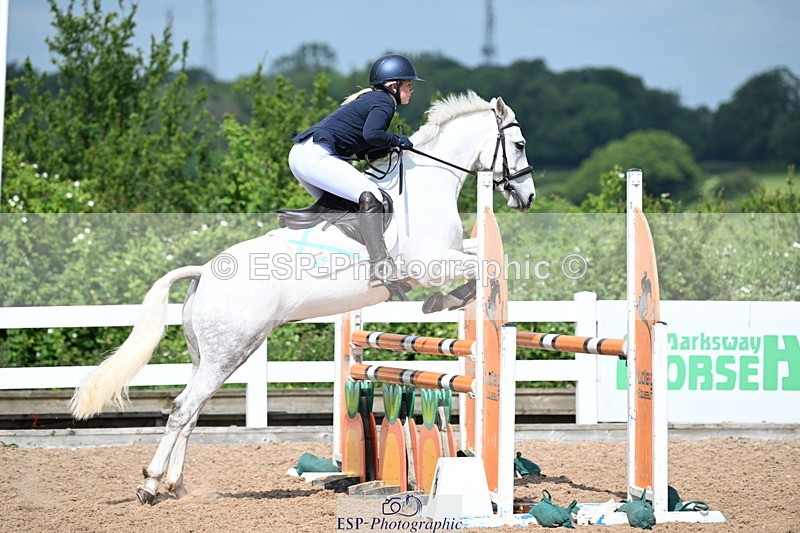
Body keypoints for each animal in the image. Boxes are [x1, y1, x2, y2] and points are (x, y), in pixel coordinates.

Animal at [69, 91, 536, 505]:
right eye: (519, 144)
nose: (527, 197)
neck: (426, 188)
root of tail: (204, 271)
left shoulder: (449, 254)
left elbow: (482, 258)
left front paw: (449, 301)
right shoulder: (430, 263)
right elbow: (486, 267)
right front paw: (446, 301)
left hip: (210, 355)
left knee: (193, 410)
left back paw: (177, 486)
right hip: (229, 350)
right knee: (184, 408)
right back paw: (150, 485)